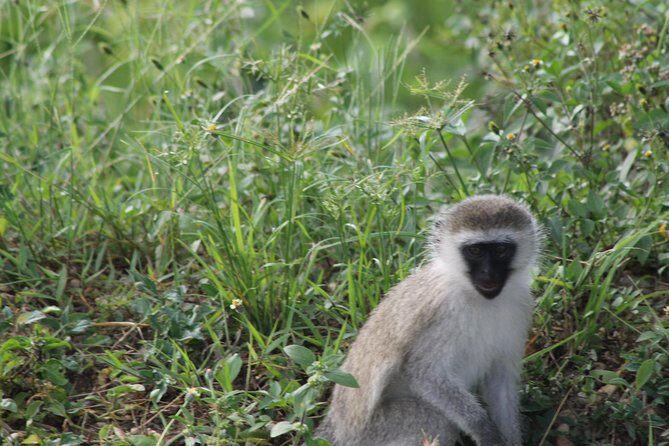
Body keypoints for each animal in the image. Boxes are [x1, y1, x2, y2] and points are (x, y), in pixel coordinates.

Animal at [314, 195, 541, 446]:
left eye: (501, 249)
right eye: (475, 251)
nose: (489, 274)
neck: (478, 298)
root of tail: (337, 429)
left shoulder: (521, 305)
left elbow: (500, 378)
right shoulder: (441, 313)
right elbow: (425, 374)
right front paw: (485, 431)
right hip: (376, 431)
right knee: (436, 419)